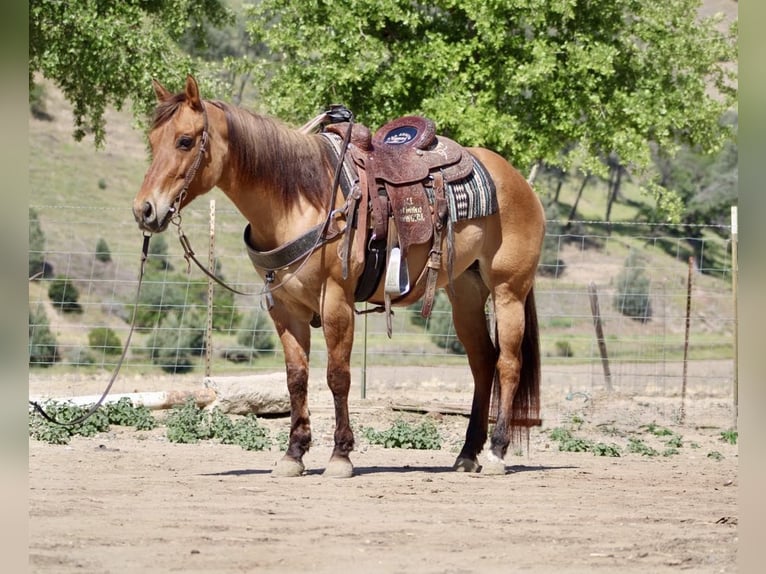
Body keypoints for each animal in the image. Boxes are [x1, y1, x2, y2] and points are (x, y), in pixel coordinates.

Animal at [133, 75, 545, 478]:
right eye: (152, 140)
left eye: (185, 140)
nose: (145, 210)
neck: (301, 199)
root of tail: (516, 180)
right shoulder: (285, 308)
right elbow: (296, 378)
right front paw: (293, 454)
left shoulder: (336, 299)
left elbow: (337, 375)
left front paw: (340, 455)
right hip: (467, 295)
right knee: (483, 363)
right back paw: (467, 454)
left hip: (508, 290)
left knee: (508, 363)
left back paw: (496, 453)